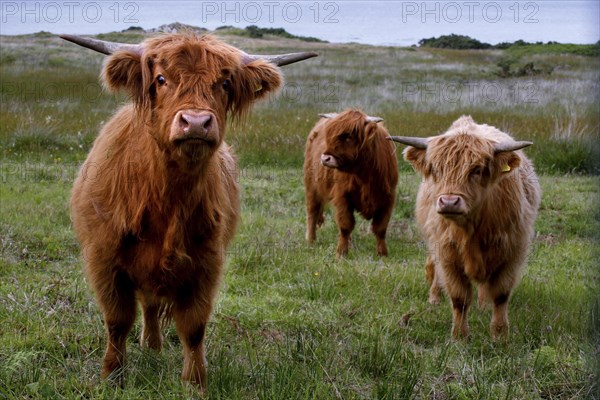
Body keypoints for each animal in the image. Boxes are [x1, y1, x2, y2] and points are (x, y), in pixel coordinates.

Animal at [63, 32, 316, 390]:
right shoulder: (104, 259)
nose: (196, 122)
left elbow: (194, 328)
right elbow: (116, 321)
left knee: (152, 303)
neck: (165, 198)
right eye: (161, 79)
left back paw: (153, 345)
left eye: (224, 83)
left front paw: (195, 382)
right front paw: (112, 375)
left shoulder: (206, 264)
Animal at [304, 109, 398, 256]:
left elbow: (381, 228)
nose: (325, 158)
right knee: (312, 212)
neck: (365, 176)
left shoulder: (388, 198)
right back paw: (311, 240)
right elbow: (345, 225)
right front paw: (341, 252)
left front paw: (383, 253)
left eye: (348, 136)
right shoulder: (342, 196)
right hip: (311, 186)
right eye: (329, 135)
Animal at [392, 116, 540, 340]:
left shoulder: (512, 252)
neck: (471, 230)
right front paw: (459, 337)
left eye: (477, 170)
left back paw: (483, 305)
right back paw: (435, 298)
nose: (449, 202)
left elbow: (501, 295)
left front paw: (499, 335)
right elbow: (459, 297)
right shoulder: (447, 254)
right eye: (436, 169)